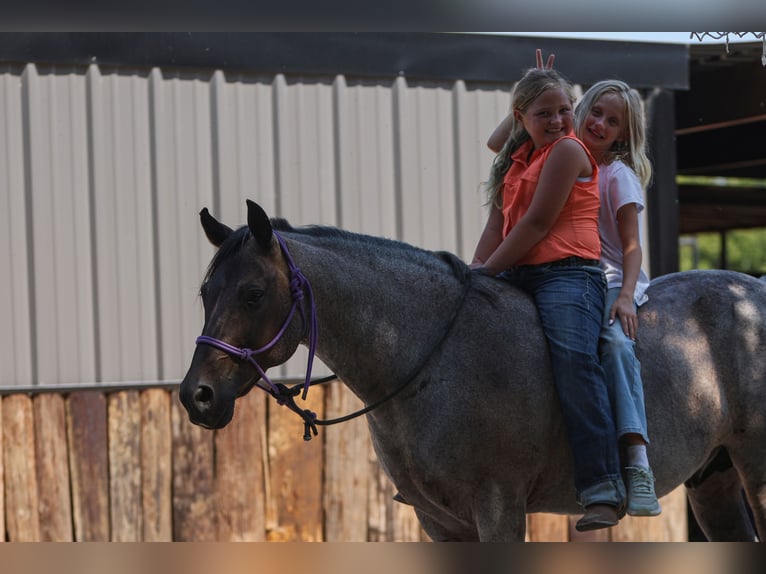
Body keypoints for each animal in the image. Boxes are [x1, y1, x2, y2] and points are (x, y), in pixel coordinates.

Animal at [182, 200, 766, 544]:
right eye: (206, 292)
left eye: (253, 292)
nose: (197, 395)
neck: (430, 356)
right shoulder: (440, 523)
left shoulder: (498, 509)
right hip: (713, 482)